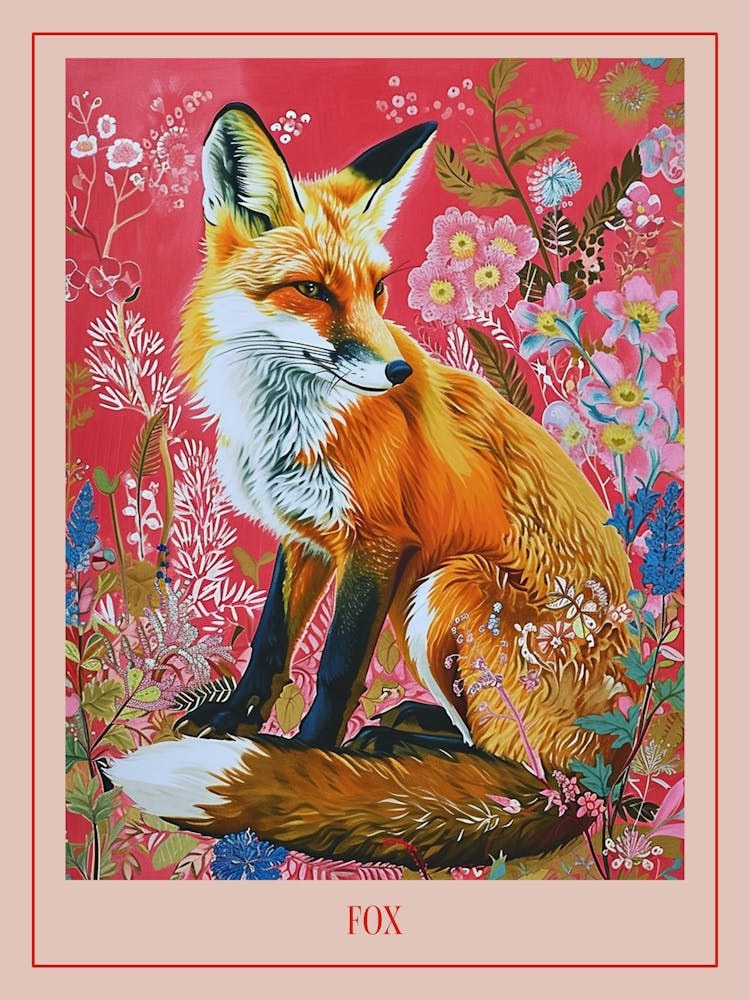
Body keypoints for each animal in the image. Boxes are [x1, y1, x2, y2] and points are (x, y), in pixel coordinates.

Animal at [107, 102, 636, 870]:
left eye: (377, 290)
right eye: (312, 290)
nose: (397, 374)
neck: (289, 423)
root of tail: (606, 770)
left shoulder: (380, 544)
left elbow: (333, 669)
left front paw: (300, 761)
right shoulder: (306, 536)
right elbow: (271, 643)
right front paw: (235, 719)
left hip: (447, 586)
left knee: (513, 768)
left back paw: (398, 754)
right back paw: (402, 731)